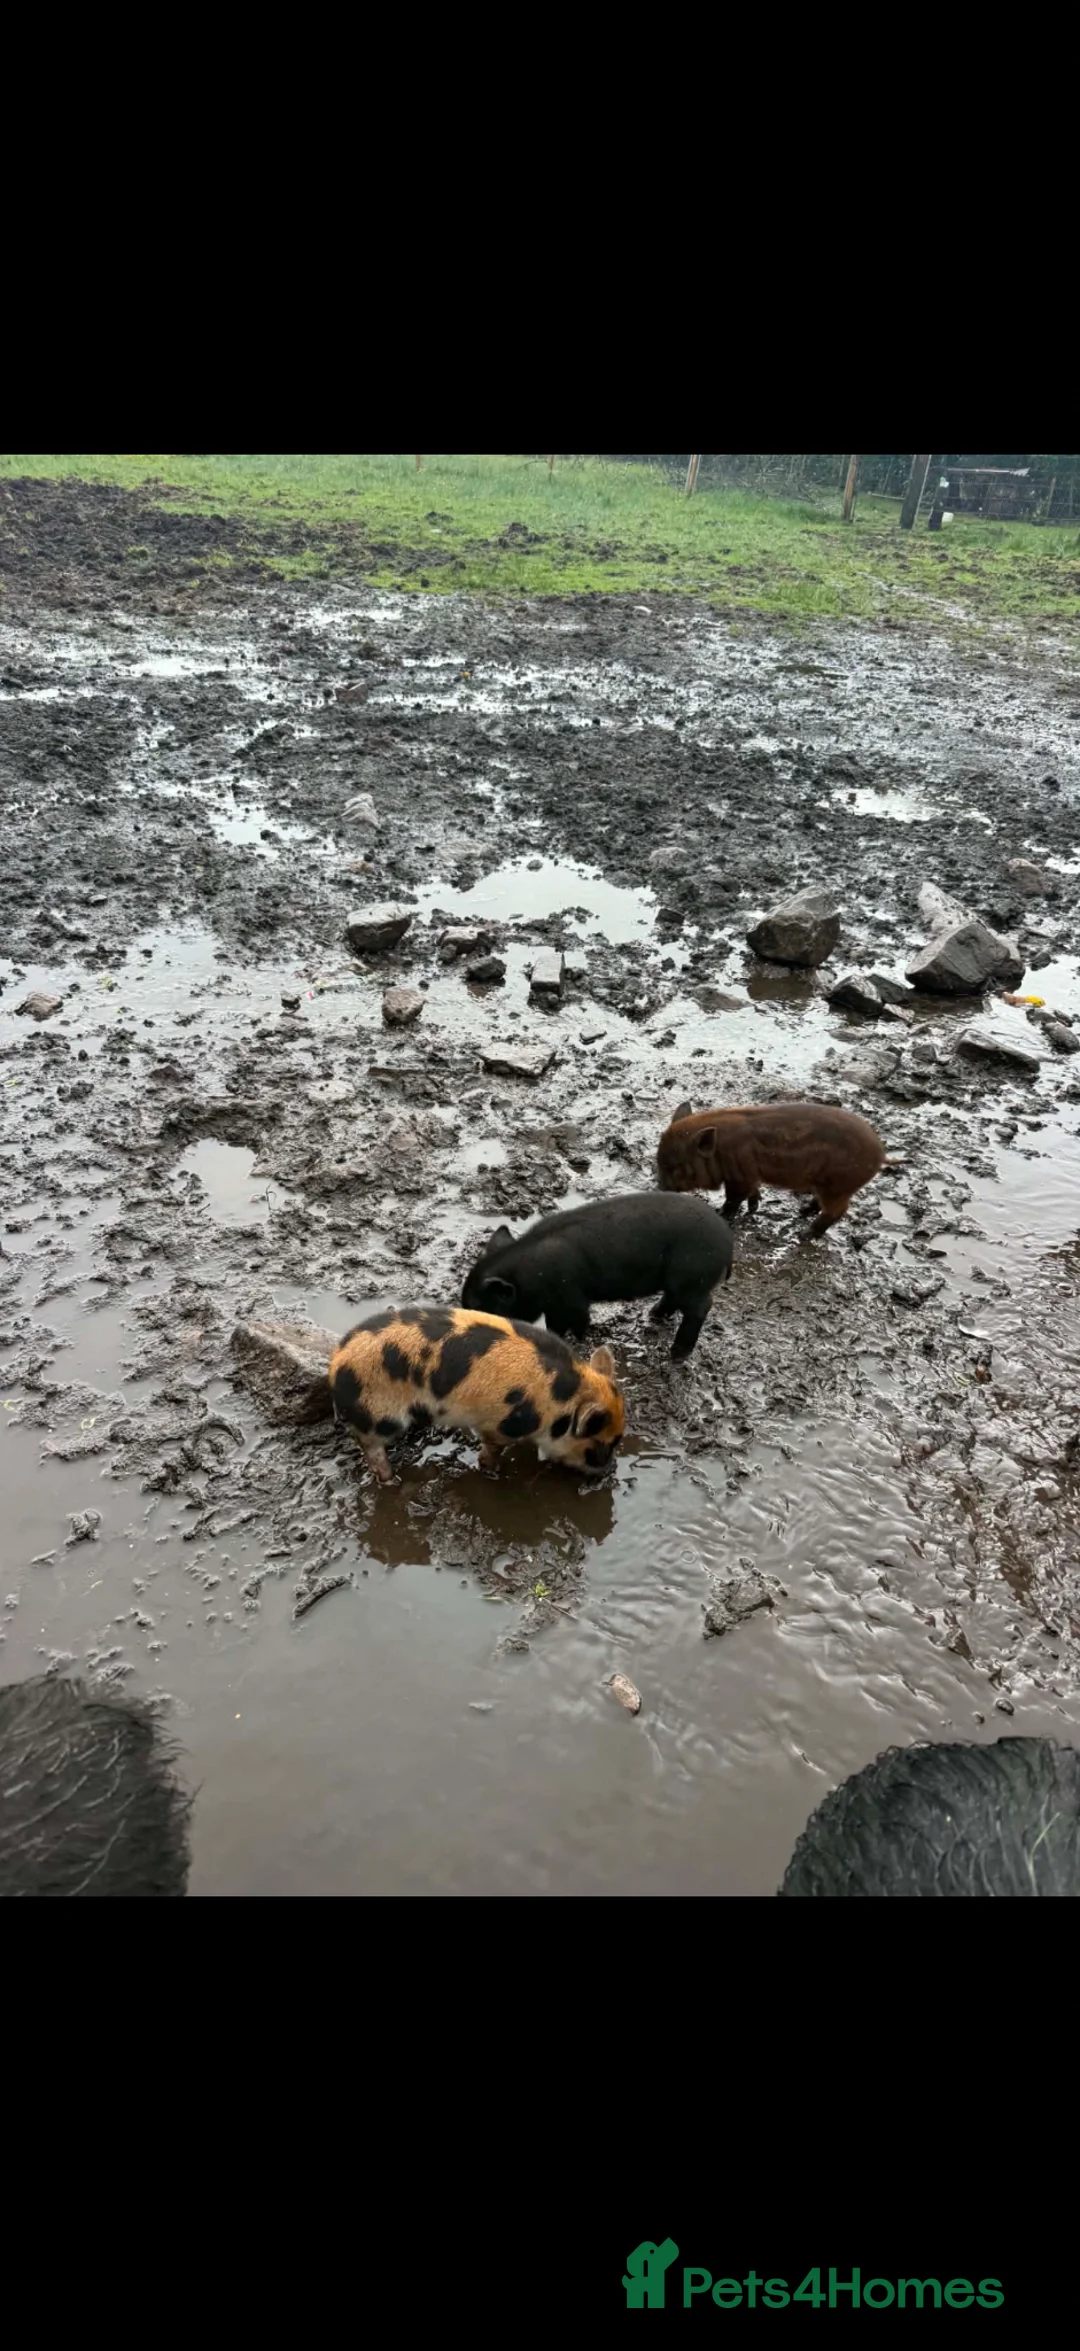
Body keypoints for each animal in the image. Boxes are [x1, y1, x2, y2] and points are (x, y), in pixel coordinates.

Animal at [329, 1305, 624, 1483]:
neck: (557, 1403)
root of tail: (336, 1363)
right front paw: (492, 1472)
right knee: (367, 1442)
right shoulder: (498, 1426)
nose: (609, 1471)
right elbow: (492, 1450)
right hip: (379, 1413)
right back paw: (390, 1479)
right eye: (599, 1446)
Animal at [462, 1192, 733, 1363]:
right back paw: (653, 1315)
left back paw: (676, 1355)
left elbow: (576, 1321)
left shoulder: (570, 1297)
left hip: (692, 1278)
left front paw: (577, 1339)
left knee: (701, 1307)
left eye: (480, 1307)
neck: (528, 1276)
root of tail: (727, 1242)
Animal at [657, 1099, 886, 1239]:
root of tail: (881, 1154)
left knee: (838, 1210)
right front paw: (753, 1207)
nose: (659, 1189)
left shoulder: (741, 1177)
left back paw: (805, 1234)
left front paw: (721, 1213)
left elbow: (733, 1199)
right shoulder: (751, 1177)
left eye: (676, 1166)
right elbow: (752, 1193)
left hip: (837, 1187)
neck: (721, 1151)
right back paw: (803, 1210)